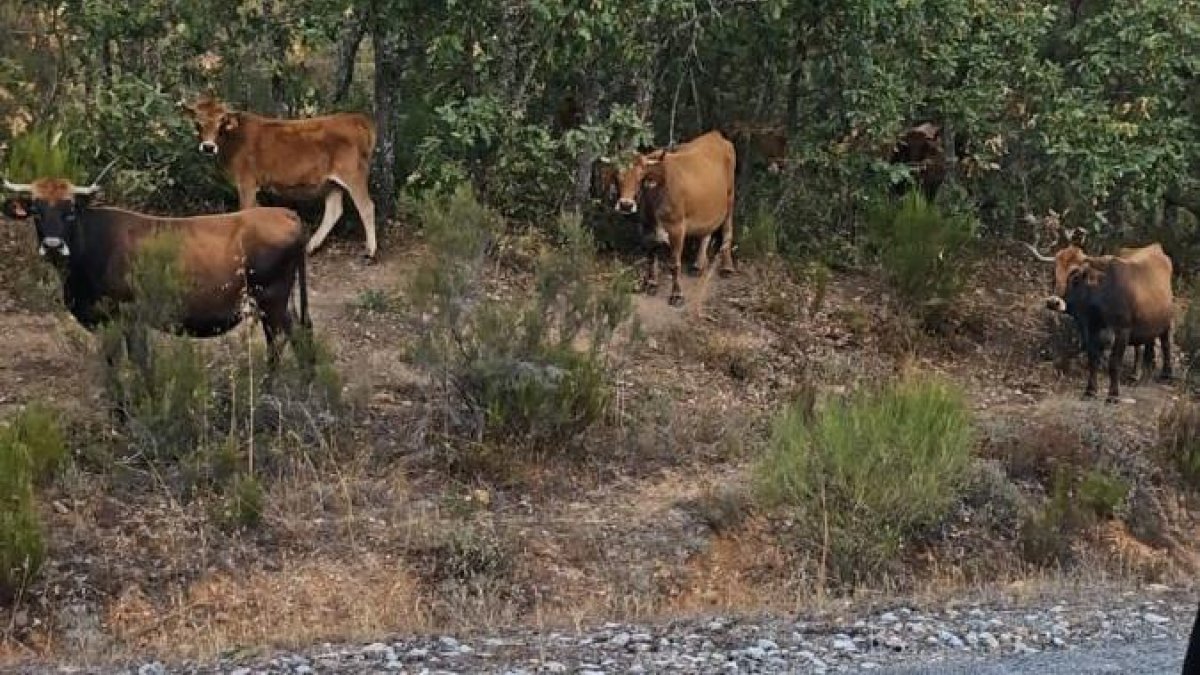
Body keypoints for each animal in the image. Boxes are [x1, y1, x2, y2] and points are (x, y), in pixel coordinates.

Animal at [1, 176, 312, 374]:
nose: (53, 245)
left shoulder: (130, 318)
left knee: (286, 340)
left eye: (70, 211)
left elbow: (140, 363)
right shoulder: (107, 324)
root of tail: (286, 213)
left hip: (272, 299)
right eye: (36, 211)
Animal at [181, 94, 378, 261]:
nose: (208, 147)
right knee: (334, 211)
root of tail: (354, 118)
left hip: (354, 174)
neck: (233, 140)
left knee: (366, 207)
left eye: (221, 122)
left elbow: (245, 210)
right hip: (331, 182)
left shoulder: (246, 182)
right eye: (197, 123)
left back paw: (370, 251)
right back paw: (310, 247)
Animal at [600, 130, 736, 307]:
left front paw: (677, 294)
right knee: (706, 233)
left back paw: (727, 267)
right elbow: (651, 257)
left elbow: (674, 263)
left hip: (730, 198)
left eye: (640, 177)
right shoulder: (646, 227)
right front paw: (651, 284)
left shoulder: (677, 228)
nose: (626, 205)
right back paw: (698, 265)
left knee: (727, 230)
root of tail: (715, 135)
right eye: (617, 176)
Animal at [1026, 240, 1174, 401]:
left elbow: (1114, 362)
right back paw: (1136, 375)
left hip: (1166, 320)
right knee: (1141, 346)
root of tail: (1155, 247)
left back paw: (1166, 374)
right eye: (1054, 272)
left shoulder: (1122, 330)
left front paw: (1113, 395)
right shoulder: (1090, 329)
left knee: (1165, 344)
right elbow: (1093, 359)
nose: (1053, 302)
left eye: (1075, 276)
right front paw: (1090, 391)